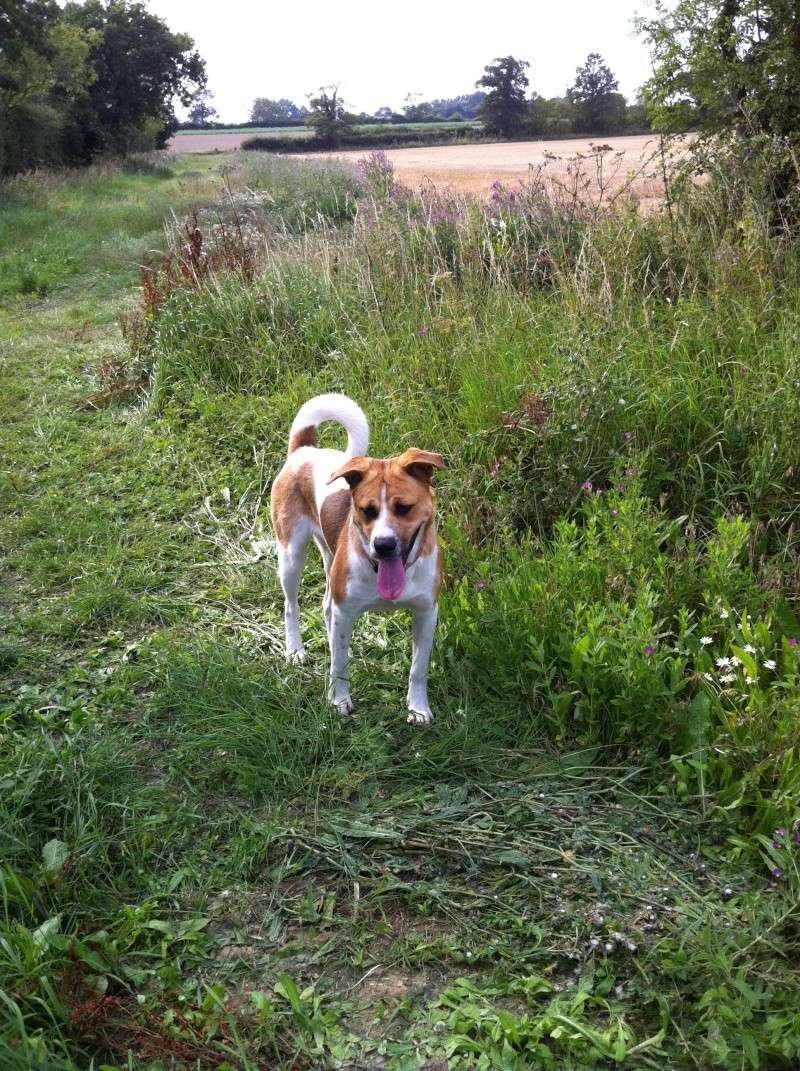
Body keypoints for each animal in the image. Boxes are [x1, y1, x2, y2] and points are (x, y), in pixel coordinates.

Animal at [268, 389, 443, 723]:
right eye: (367, 510)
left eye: (404, 507)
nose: (384, 544)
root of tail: (304, 450)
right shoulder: (346, 610)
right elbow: (339, 665)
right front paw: (338, 701)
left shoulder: (426, 613)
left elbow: (418, 668)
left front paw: (418, 707)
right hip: (291, 555)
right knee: (291, 607)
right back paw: (295, 650)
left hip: (328, 555)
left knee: (325, 606)